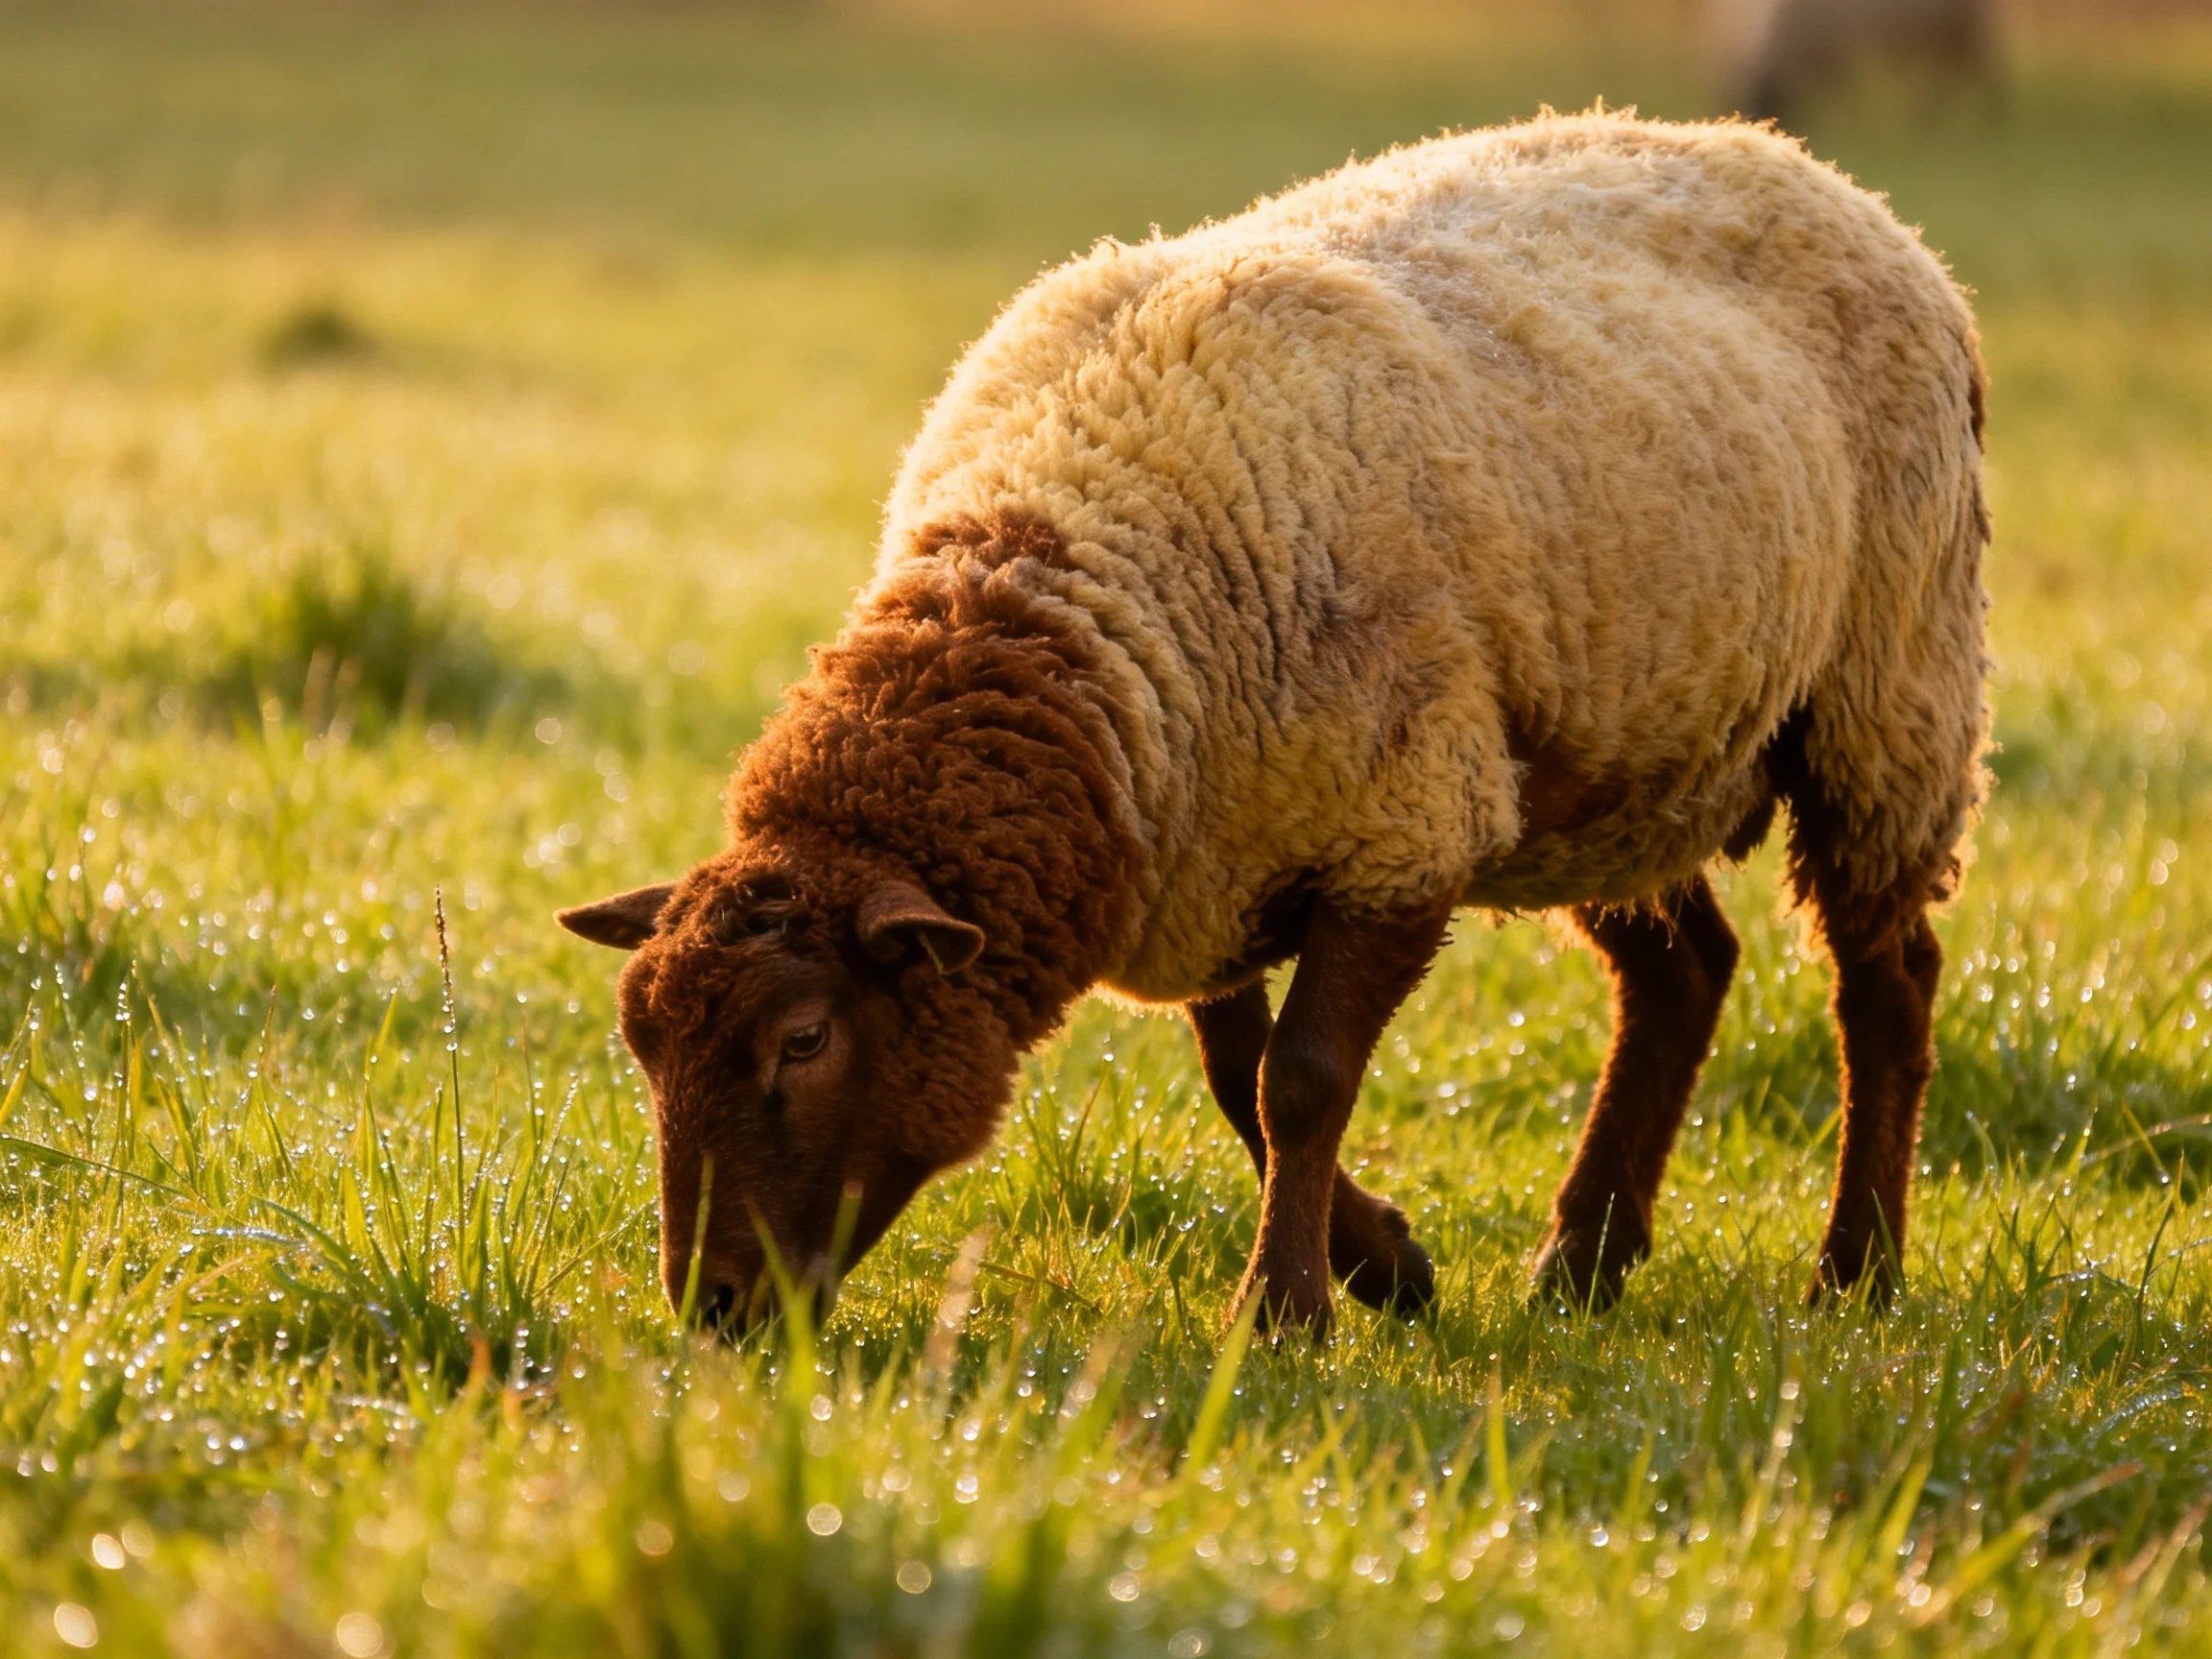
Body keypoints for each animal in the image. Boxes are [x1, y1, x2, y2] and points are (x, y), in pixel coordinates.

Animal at [560, 111, 1991, 1334]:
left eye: (804, 1040)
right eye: (642, 1046)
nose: (712, 1308)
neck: (1056, 592)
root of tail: (1803, 164)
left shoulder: (1401, 828)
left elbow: (1298, 1081)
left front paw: (1287, 1310)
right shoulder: (1212, 858)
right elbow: (1233, 1080)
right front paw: (1390, 1266)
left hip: (1887, 696)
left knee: (1886, 986)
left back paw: (1855, 1272)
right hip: (1607, 763)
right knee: (1684, 977)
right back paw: (1582, 1263)